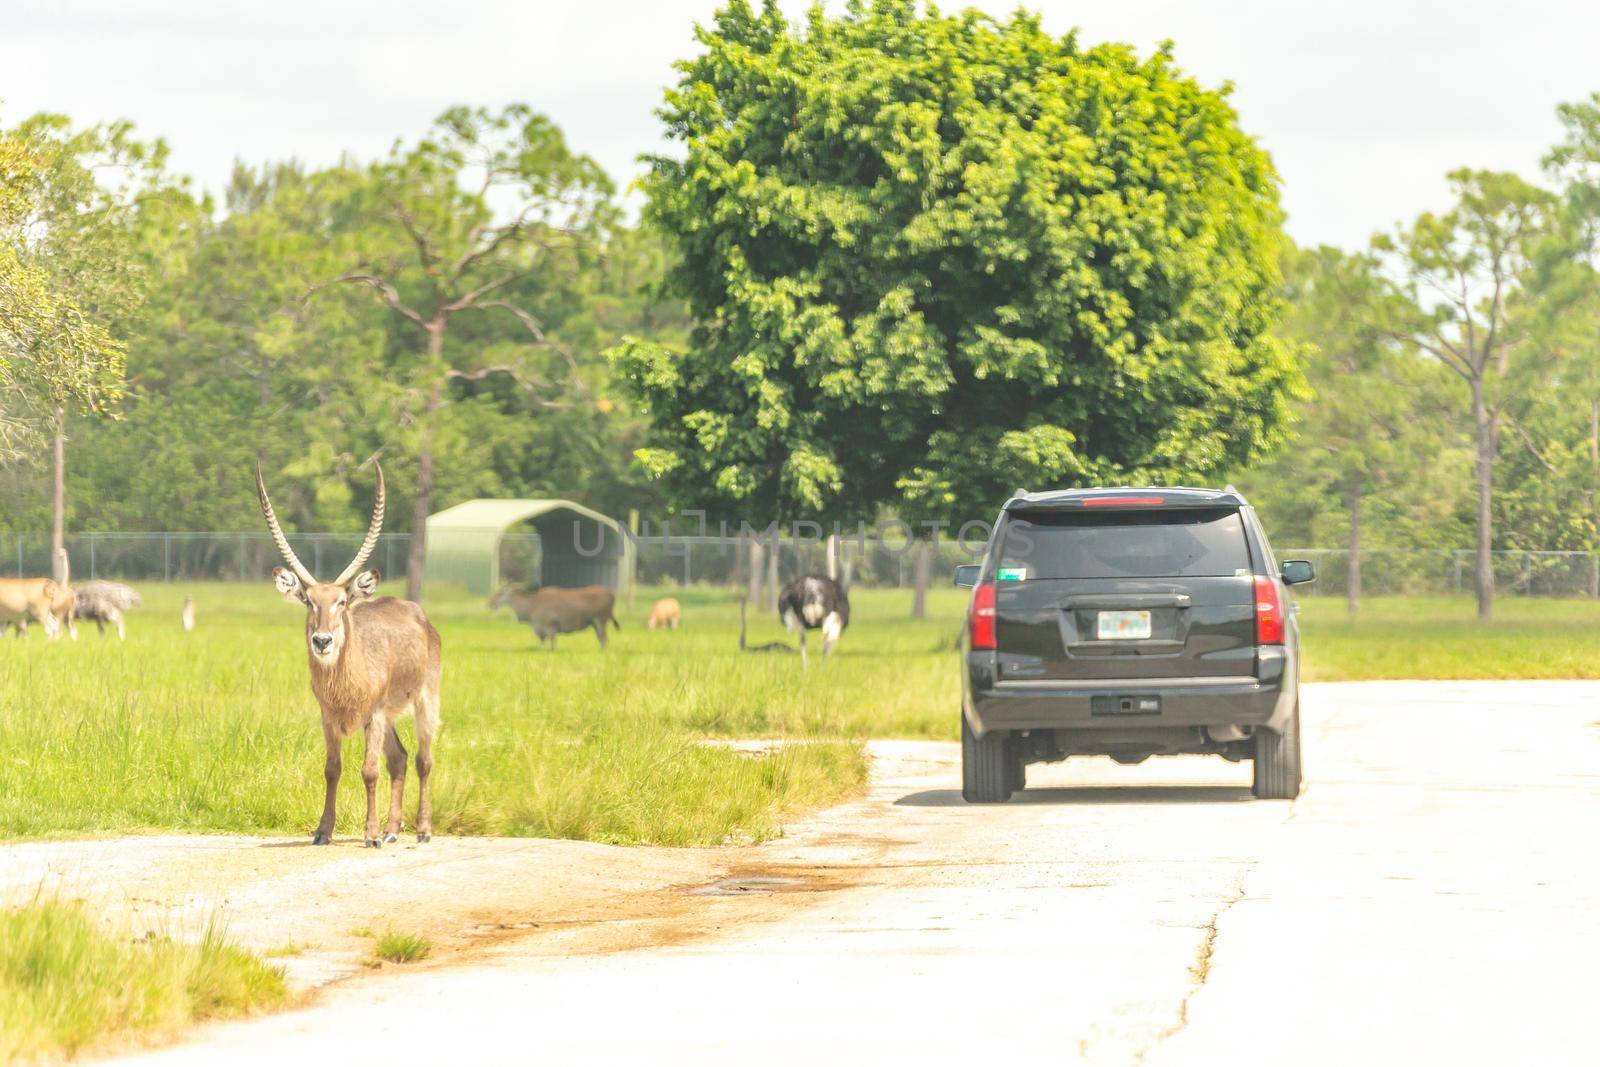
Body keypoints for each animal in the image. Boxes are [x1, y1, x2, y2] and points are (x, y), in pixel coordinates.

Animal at [257, 463, 444, 844]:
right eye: (309, 601)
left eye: (341, 602)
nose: (322, 641)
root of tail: (418, 613)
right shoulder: (329, 718)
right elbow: (333, 769)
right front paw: (323, 831)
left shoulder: (373, 715)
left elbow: (369, 771)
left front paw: (369, 834)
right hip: (389, 717)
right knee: (400, 759)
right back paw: (392, 831)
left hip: (424, 701)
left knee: (423, 760)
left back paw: (421, 830)